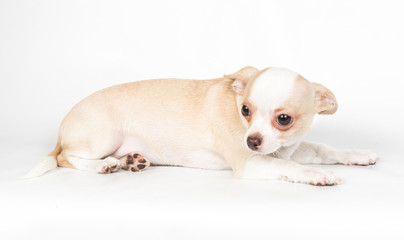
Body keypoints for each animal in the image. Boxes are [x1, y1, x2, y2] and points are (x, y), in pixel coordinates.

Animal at [26, 66, 378, 187]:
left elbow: (322, 149)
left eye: (284, 119)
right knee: (65, 157)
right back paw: (105, 166)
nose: (251, 141)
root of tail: (62, 128)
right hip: (102, 136)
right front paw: (318, 175)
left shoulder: (288, 148)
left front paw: (356, 155)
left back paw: (129, 160)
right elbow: (294, 167)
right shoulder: (252, 163)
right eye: (245, 110)